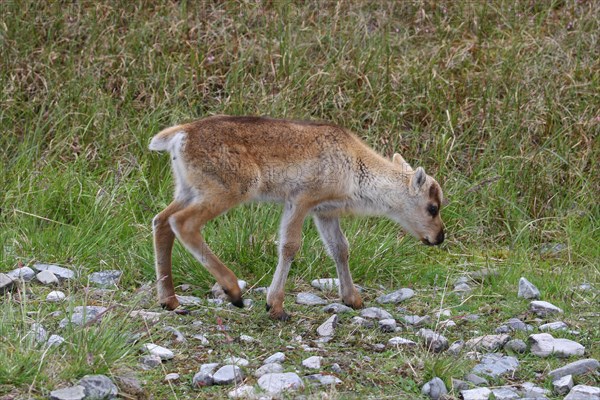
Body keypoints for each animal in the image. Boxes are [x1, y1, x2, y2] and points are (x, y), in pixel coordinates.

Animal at [150, 114, 446, 320]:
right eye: (433, 207)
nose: (439, 236)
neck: (355, 168)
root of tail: (180, 135)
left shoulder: (325, 212)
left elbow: (340, 248)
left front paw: (353, 299)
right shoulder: (299, 201)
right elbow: (290, 246)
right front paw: (276, 306)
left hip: (187, 190)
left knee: (161, 221)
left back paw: (170, 301)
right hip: (229, 189)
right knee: (183, 223)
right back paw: (233, 291)